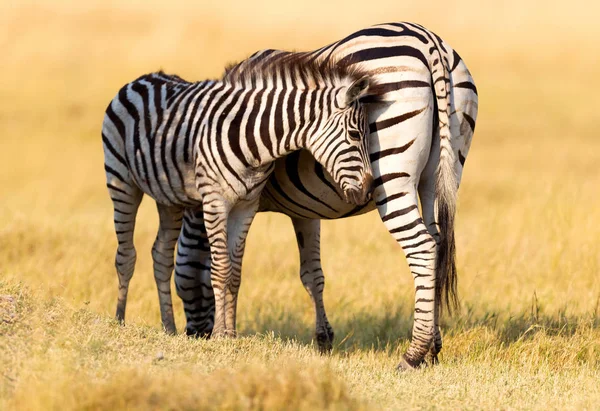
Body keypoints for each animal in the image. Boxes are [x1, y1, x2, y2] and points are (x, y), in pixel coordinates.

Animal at [103, 57, 376, 342]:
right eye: (355, 135)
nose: (369, 190)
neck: (254, 143)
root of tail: (143, 78)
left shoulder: (246, 206)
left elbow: (234, 272)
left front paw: (230, 332)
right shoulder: (215, 202)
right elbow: (220, 268)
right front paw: (219, 334)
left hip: (169, 200)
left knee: (161, 255)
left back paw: (168, 327)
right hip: (121, 180)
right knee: (125, 254)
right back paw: (119, 320)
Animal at [175, 21, 478, 370]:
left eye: (181, 285)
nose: (193, 335)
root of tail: (429, 42)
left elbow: (232, 263)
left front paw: (229, 335)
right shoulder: (304, 209)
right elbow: (312, 274)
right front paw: (323, 340)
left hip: (392, 176)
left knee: (423, 247)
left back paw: (413, 354)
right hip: (439, 173)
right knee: (438, 245)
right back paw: (432, 348)